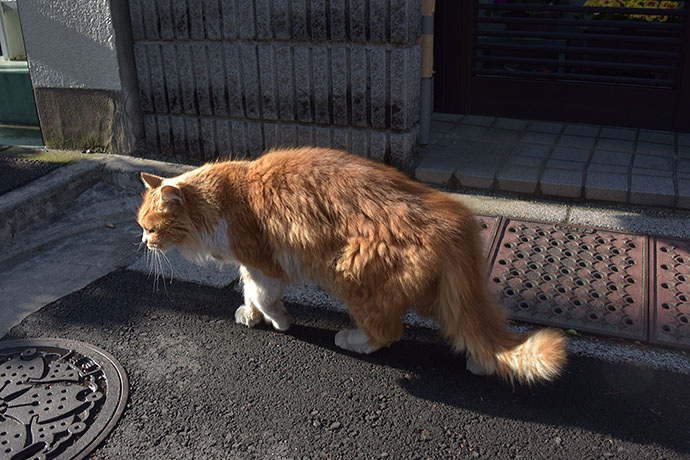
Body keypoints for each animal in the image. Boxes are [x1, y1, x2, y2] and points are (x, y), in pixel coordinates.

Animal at [136, 148, 564, 384]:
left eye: (151, 228)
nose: (142, 242)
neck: (222, 198)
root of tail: (451, 219)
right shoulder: (251, 263)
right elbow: (248, 291)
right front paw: (250, 315)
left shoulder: (265, 264)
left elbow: (262, 292)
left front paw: (278, 321)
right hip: (440, 294)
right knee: (473, 327)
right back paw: (482, 363)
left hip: (352, 275)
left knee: (389, 332)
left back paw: (352, 339)